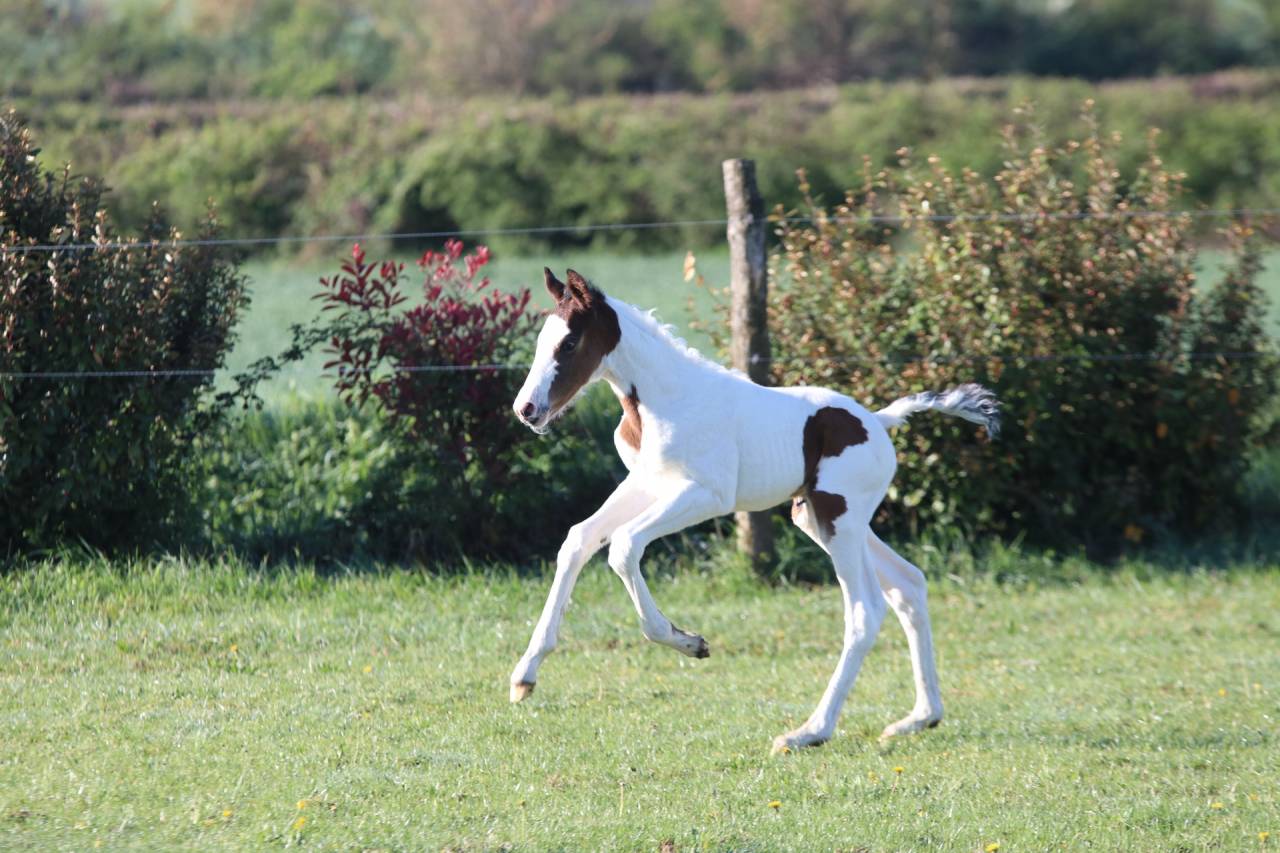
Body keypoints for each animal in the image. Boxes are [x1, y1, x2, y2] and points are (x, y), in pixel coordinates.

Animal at [509, 268, 999, 752]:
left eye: (569, 343)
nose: (526, 410)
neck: (666, 399)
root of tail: (878, 421)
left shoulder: (706, 495)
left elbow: (624, 547)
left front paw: (690, 643)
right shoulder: (646, 484)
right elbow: (579, 539)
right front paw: (524, 676)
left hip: (838, 520)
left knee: (865, 611)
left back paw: (809, 732)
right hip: (820, 518)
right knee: (908, 584)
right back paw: (919, 718)